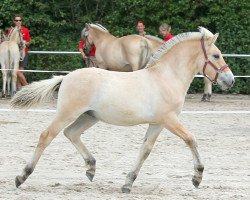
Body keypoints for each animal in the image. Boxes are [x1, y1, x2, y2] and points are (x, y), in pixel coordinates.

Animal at [11, 27, 234, 193]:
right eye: (216, 55)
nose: (230, 80)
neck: (165, 77)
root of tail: (65, 77)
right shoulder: (169, 120)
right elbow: (191, 139)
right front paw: (197, 177)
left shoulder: (157, 123)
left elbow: (145, 150)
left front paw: (128, 183)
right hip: (67, 113)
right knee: (47, 135)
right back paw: (22, 176)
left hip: (89, 117)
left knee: (71, 133)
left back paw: (91, 168)